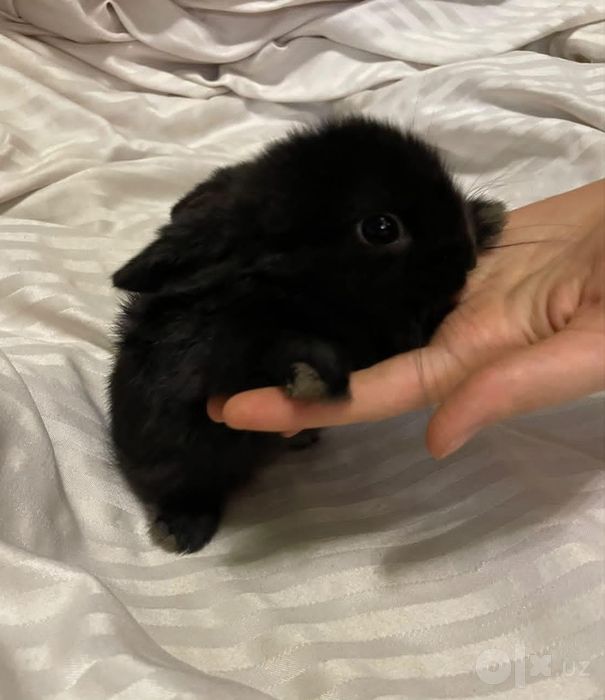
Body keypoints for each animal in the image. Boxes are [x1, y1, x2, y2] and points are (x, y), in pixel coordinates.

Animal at [109, 116, 506, 553]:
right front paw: (311, 375)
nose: (466, 258)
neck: (297, 287)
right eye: (381, 228)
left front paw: (489, 215)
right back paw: (182, 528)